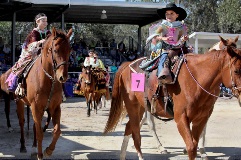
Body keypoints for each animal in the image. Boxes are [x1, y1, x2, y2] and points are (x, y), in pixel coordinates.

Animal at [0, 27, 71, 160]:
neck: (47, 80)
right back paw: (23, 146)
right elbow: (39, 133)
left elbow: (57, 131)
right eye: (55, 50)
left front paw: (48, 150)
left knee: (33, 125)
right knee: (22, 122)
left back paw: (33, 146)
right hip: (19, 102)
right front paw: (40, 154)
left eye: (70, 50)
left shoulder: (55, 107)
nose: (62, 77)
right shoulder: (36, 107)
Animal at [103, 36, 241, 160]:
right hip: (132, 106)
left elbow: (196, 141)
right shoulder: (181, 118)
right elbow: (191, 147)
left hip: (141, 107)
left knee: (129, 127)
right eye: (237, 71)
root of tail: (127, 65)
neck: (196, 79)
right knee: (138, 132)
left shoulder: (201, 117)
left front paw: (202, 152)